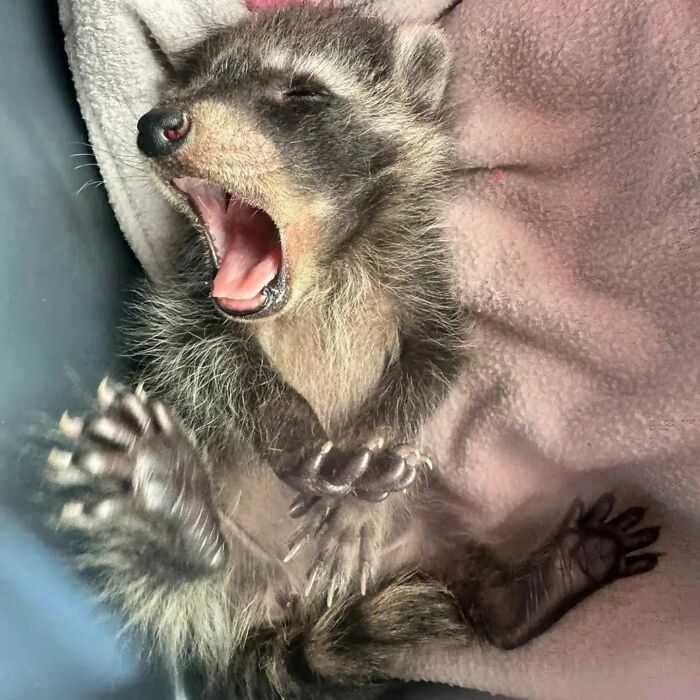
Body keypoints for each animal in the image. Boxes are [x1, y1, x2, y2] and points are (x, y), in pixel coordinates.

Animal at [46, 5, 660, 700]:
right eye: (187, 89)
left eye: (301, 93)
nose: (157, 126)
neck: (325, 267)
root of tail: (280, 611)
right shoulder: (184, 301)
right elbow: (204, 358)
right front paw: (290, 428)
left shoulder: (427, 283)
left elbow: (433, 363)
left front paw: (364, 480)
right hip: (197, 570)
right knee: (170, 578)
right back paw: (175, 512)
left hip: (435, 533)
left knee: (471, 597)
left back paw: (532, 588)